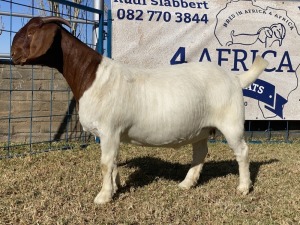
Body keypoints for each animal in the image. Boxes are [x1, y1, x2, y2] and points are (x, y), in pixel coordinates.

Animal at [12, 16, 270, 205]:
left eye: (31, 32)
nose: (13, 54)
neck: (92, 77)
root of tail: (235, 78)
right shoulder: (112, 135)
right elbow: (113, 161)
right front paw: (116, 187)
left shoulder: (109, 129)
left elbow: (105, 163)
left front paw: (103, 196)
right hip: (201, 127)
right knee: (200, 153)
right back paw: (187, 183)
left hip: (231, 122)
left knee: (242, 152)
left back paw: (243, 187)